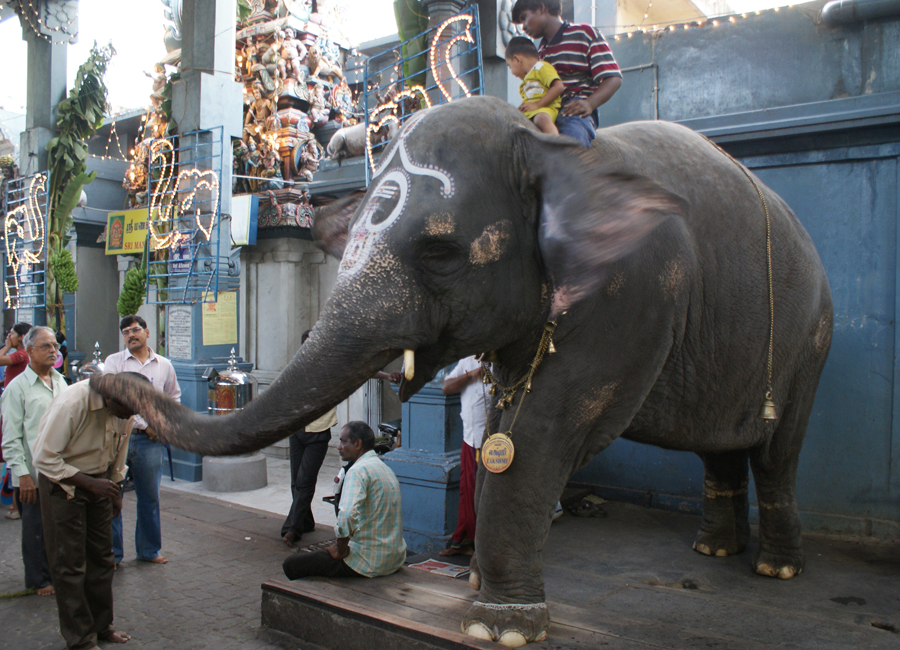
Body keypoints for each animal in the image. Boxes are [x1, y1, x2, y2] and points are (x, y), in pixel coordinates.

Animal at [95, 97, 832, 648]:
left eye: (440, 251)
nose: (105, 382)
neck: (544, 148)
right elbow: (509, 418)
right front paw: (479, 586)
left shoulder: (633, 292)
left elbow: (541, 434)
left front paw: (498, 626)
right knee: (722, 449)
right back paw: (714, 552)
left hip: (810, 337)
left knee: (778, 450)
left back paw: (776, 567)